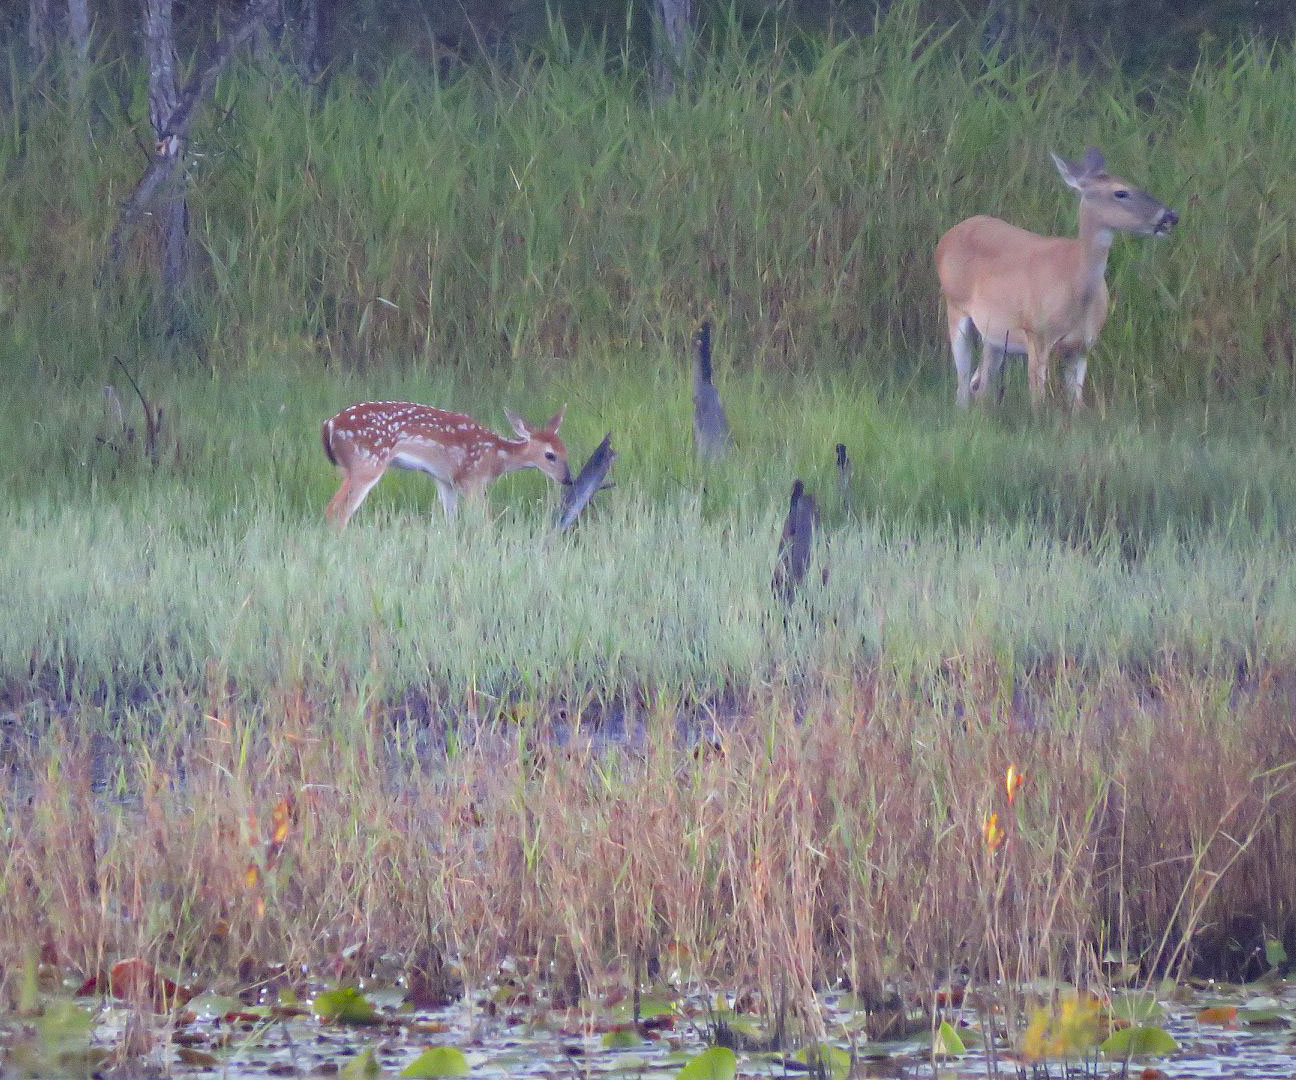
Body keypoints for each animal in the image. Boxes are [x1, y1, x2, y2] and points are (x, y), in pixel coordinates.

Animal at [321, 401, 571, 527]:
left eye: (566, 451)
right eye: (550, 455)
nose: (568, 479)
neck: (496, 456)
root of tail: (329, 424)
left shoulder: (445, 480)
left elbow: (451, 520)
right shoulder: (471, 479)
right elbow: (482, 520)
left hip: (349, 468)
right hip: (368, 462)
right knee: (338, 511)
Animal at [935, 147, 1178, 412]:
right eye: (1121, 192)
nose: (1170, 216)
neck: (1075, 286)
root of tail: (947, 236)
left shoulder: (1083, 345)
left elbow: (1077, 403)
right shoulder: (1037, 333)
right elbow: (1038, 399)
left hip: (995, 333)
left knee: (979, 384)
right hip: (956, 306)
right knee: (963, 386)